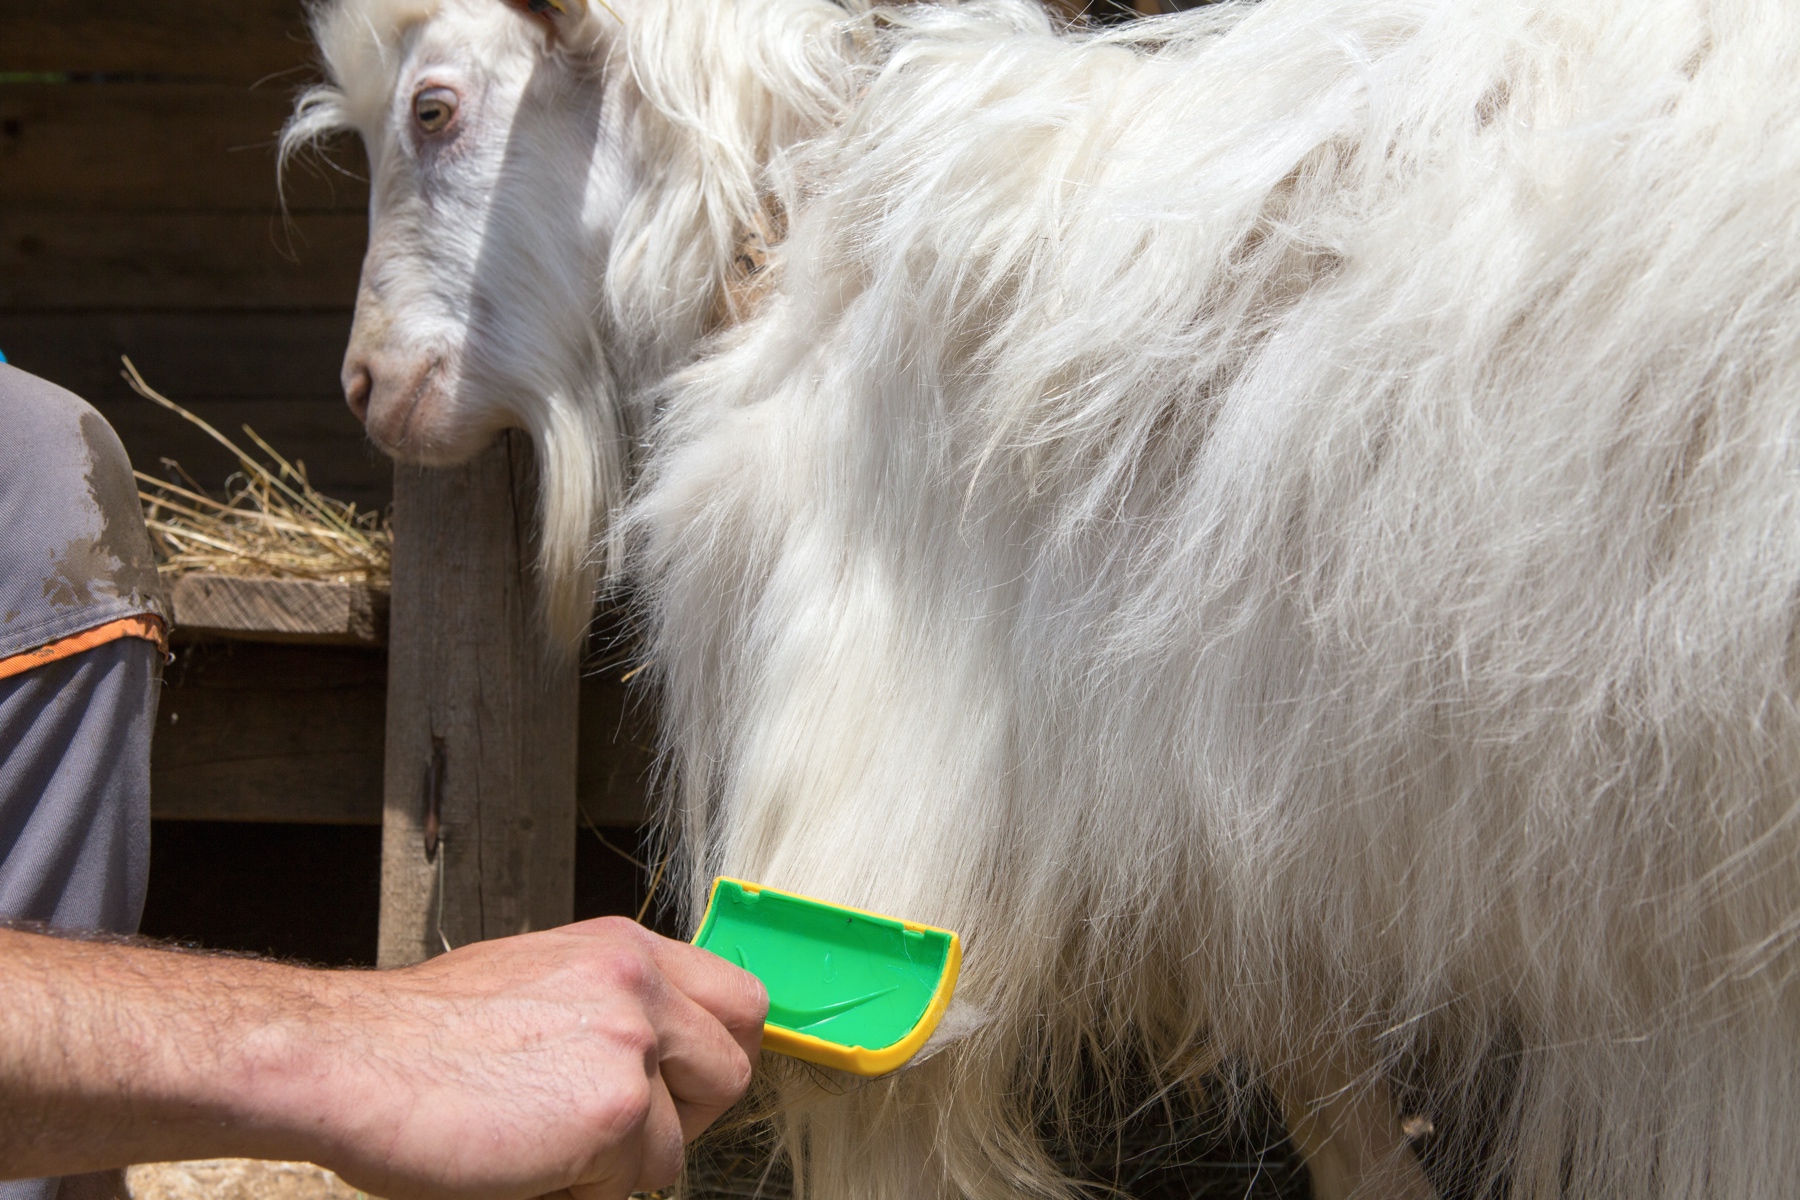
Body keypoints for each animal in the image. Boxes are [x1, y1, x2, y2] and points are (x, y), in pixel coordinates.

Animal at [288, 0, 1800, 1194]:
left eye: (434, 108)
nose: (366, 385)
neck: (791, 233)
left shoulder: (899, 763)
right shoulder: (1225, 812)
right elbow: (1326, 1089)